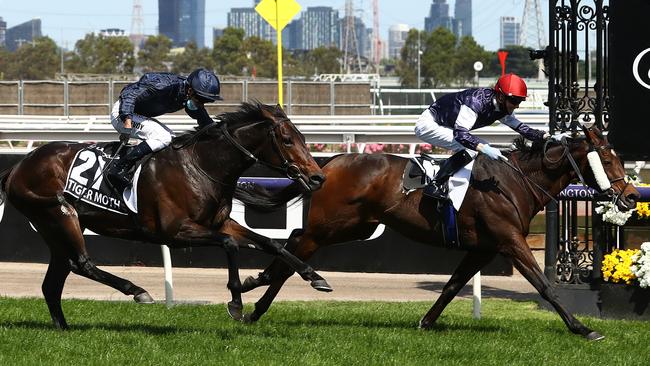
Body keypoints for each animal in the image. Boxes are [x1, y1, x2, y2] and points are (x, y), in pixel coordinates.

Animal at [0, 102, 326, 328]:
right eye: (287, 140)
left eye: (303, 137)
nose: (317, 177)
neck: (202, 166)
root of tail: (17, 167)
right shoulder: (176, 231)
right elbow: (231, 245)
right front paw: (235, 302)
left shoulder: (220, 223)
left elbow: (269, 243)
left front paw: (314, 276)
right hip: (59, 217)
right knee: (81, 263)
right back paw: (137, 290)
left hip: (55, 229)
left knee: (53, 283)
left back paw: (64, 327)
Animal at [242, 126, 636, 340]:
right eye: (608, 159)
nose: (632, 196)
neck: (513, 182)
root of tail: (330, 162)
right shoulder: (510, 241)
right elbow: (545, 286)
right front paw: (583, 328)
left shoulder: (484, 248)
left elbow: (451, 286)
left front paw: (426, 322)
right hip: (331, 225)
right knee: (295, 249)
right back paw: (256, 299)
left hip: (355, 225)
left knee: (294, 242)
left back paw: (255, 290)